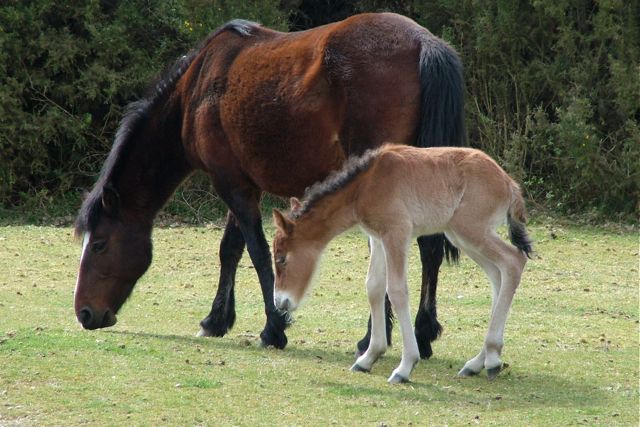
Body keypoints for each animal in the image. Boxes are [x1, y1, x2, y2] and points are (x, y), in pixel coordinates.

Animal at [272, 145, 532, 384]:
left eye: (281, 258)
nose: (280, 302)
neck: (365, 185)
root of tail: (509, 183)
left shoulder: (397, 233)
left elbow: (396, 291)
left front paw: (405, 366)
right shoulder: (377, 238)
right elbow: (374, 288)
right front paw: (368, 358)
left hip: (471, 231)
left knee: (513, 262)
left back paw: (492, 358)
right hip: (461, 236)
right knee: (498, 276)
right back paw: (478, 362)